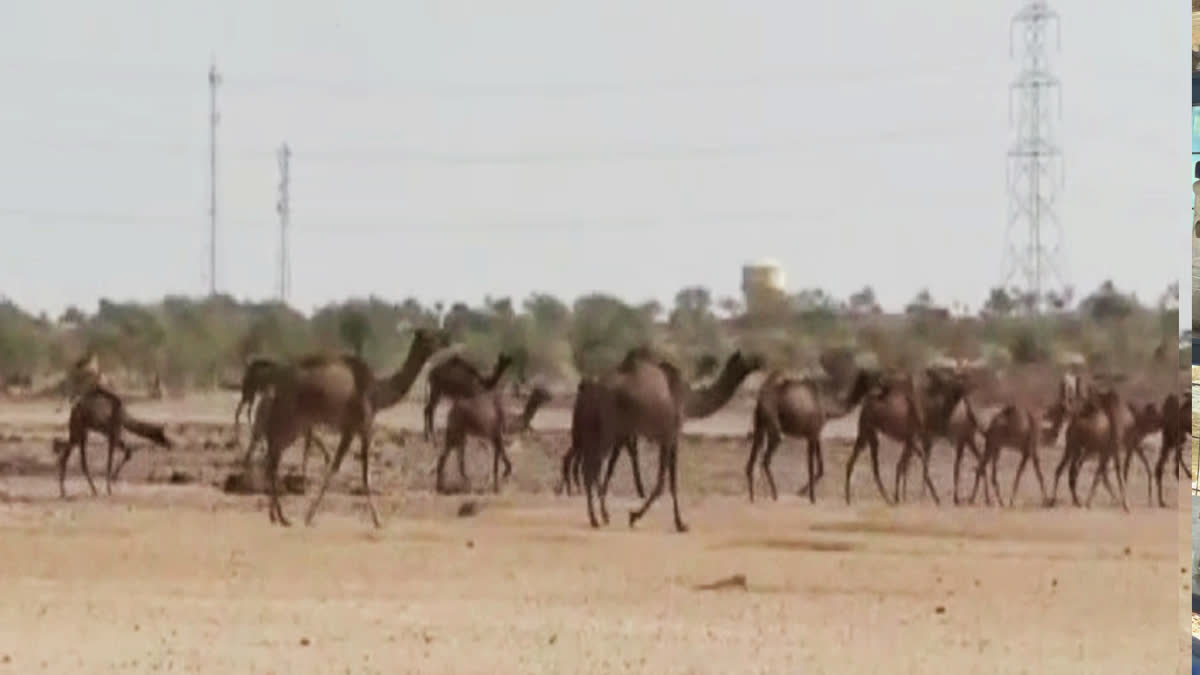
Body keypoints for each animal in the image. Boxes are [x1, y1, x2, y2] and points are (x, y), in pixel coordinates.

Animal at [261, 326, 451, 526]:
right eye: (430, 336)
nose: (446, 339)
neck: (377, 392)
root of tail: (276, 384)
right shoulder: (361, 427)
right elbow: (361, 473)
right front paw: (377, 520)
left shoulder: (349, 429)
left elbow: (337, 467)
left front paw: (309, 515)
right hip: (289, 419)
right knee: (271, 461)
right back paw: (281, 517)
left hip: (296, 425)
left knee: (271, 460)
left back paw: (276, 516)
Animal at [436, 353, 516, 494]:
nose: (511, 359)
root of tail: (451, 410)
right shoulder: (496, 434)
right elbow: (500, 461)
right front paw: (499, 484)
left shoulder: (494, 436)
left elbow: (497, 461)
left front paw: (496, 486)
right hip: (456, 432)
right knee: (453, 459)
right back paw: (459, 486)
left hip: (458, 434)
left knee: (452, 458)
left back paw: (446, 486)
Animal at [571, 345, 758, 530]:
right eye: (749, 357)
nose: (759, 363)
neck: (688, 400)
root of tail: (588, 389)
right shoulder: (671, 436)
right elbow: (665, 482)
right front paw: (641, 517)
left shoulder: (665, 439)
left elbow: (668, 481)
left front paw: (673, 521)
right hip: (607, 430)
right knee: (591, 469)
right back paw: (597, 519)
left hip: (593, 431)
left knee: (589, 468)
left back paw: (600, 517)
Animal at [744, 365, 859, 502]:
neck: (827, 409)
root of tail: (760, 400)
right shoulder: (812, 434)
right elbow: (811, 467)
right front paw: (812, 498)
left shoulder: (816, 434)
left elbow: (820, 468)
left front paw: (802, 492)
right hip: (771, 418)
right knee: (766, 458)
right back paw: (774, 495)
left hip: (760, 422)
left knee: (751, 462)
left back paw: (752, 497)